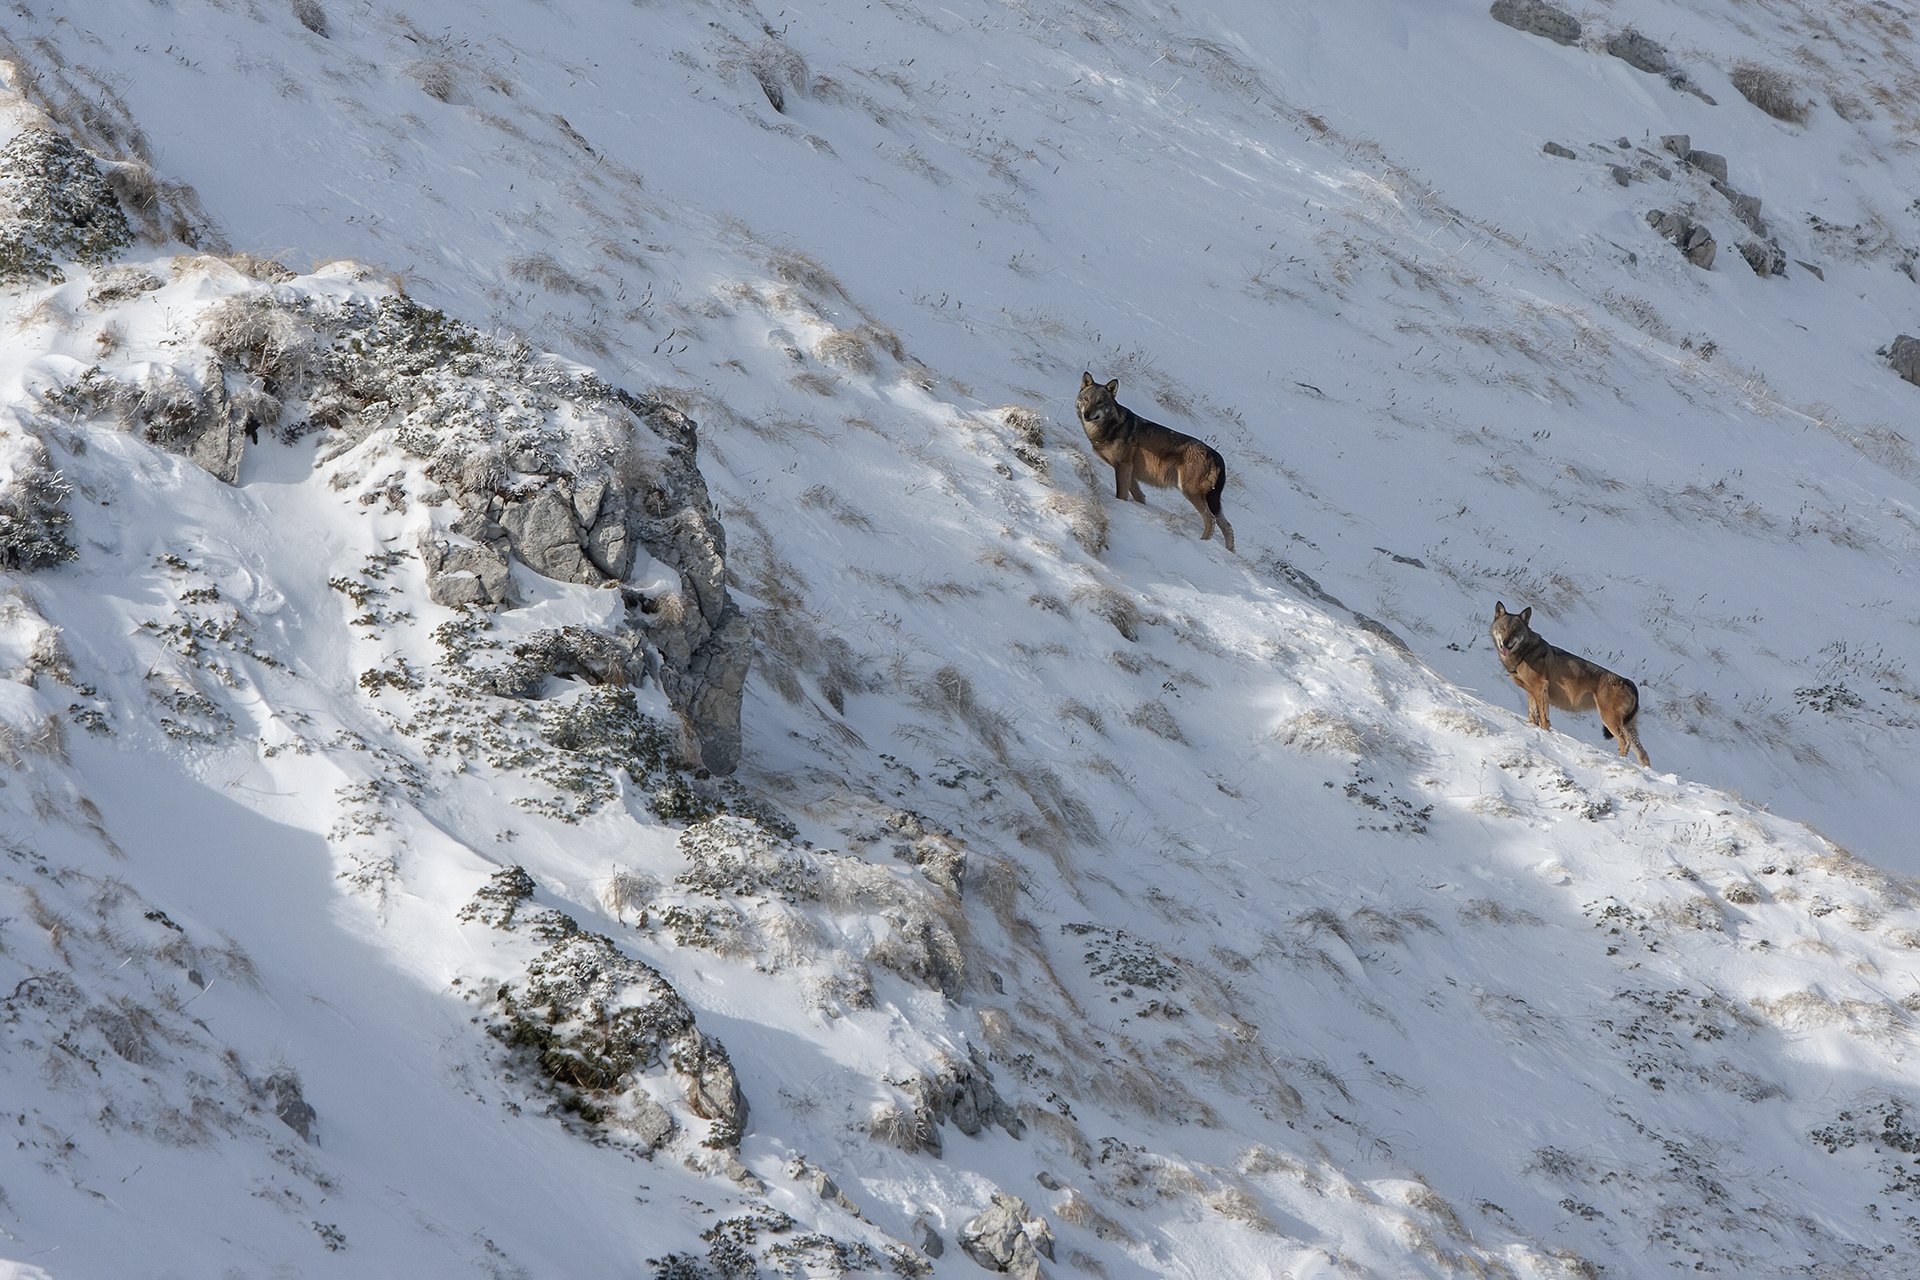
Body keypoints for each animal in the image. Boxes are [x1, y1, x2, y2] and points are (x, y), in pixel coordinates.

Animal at [1075, 372, 1234, 552]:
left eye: (1100, 402)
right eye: (1086, 399)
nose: (1087, 414)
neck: (1110, 428)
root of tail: (1218, 457)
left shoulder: (1123, 466)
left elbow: (1120, 495)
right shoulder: (1130, 473)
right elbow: (1139, 497)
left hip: (1190, 491)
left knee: (1210, 519)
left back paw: (1203, 542)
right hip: (1211, 500)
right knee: (1227, 527)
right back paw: (1229, 552)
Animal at [1489, 602, 1650, 766]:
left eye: (1516, 630)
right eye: (1502, 628)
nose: (1505, 643)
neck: (1525, 653)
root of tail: (1628, 681)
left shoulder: (1540, 688)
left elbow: (1544, 720)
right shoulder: (1531, 692)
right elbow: (1533, 717)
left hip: (1609, 719)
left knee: (1624, 742)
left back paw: (1620, 760)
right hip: (1626, 725)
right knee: (1643, 753)